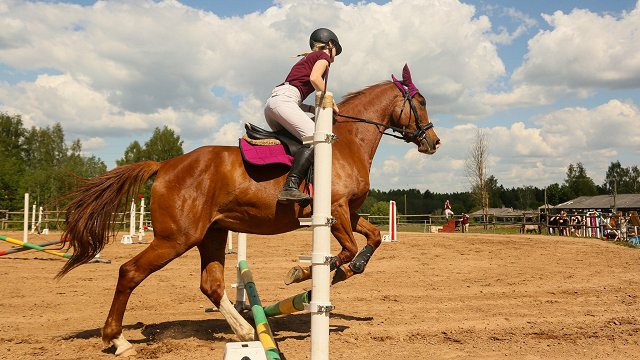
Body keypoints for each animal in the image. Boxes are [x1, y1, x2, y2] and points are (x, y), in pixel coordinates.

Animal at [58, 65, 440, 358]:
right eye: (421, 102)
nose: (434, 142)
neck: (346, 143)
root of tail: (165, 166)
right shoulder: (334, 210)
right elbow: (345, 251)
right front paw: (303, 279)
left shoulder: (349, 212)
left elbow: (371, 240)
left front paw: (336, 277)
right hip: (177, 237)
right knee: (130, 272)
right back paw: (118, 340)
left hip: (212, 233)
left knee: (210, 284)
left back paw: (245, 331)